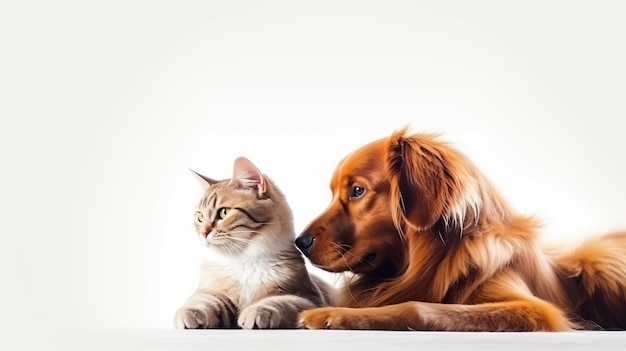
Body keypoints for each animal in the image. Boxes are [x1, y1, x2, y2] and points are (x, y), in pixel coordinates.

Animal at [173, 157, 330, 330]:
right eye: (200, 217)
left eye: (223, 213)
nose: (203, 233)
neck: (245, 260)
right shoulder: (212, 290)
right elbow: (203, 300)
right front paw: (191, 313)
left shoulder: (310, 299)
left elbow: (280, 301)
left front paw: (257, 311)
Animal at [294, 128, 624, 332]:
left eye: (357, 191)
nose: (300, 241)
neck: (441, 254)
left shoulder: (535, 309)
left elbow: (419, 307)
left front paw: (332, 315)